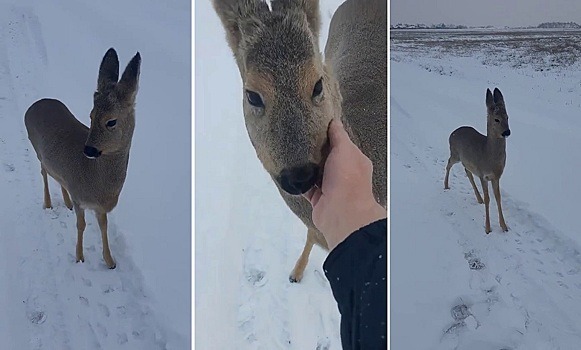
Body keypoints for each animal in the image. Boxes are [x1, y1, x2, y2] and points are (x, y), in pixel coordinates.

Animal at [25, 47, 142, 270]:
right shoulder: (81, 198)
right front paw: (79, 257)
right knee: (44, 171)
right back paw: (48, 203)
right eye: (91, 115)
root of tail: (34, 105)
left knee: (55, 174)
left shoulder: (100, 206)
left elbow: (103, 226)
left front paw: (110, 261)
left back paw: (65, 202)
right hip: (36, 148)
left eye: (111, 121)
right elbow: (81, 225)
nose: (88, 149)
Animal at [444, 87, 508, 235]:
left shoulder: (496, 176)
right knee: (448, 164)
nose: (507, 132)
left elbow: (498, 198)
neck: (489, 156)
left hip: (466, 161)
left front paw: (504, 226)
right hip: (455, 154)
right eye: (496, 119)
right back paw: (446, 185)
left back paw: (479, 199)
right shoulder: (483, 174)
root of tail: (452, 133)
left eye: (507, 117)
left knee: (467, 172)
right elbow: (489, 198)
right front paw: (488, 228)